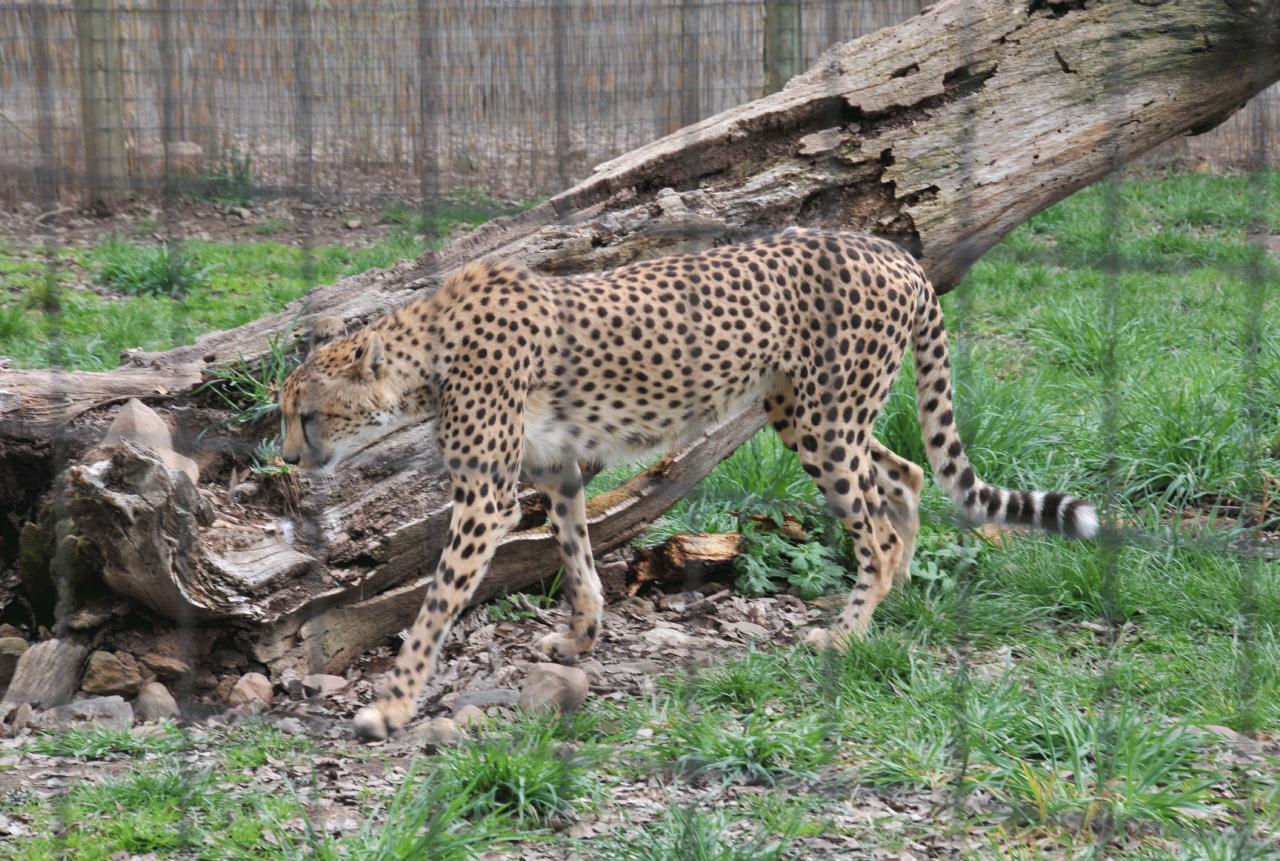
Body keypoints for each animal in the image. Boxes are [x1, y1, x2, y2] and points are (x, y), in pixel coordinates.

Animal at [280, 230, 1100, 736]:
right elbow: (576, 555)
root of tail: (893, 251)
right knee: (905, 471)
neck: (429, 354)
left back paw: (848, 629)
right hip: (809, 412)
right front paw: (581, 637)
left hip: (825, 421)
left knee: (873, 520)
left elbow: (437, 602)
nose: (287, 459)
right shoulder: (557, 467)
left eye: (309, 415)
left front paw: (391, 706)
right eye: (285, 414)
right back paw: (890, 596)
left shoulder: (487, 496)